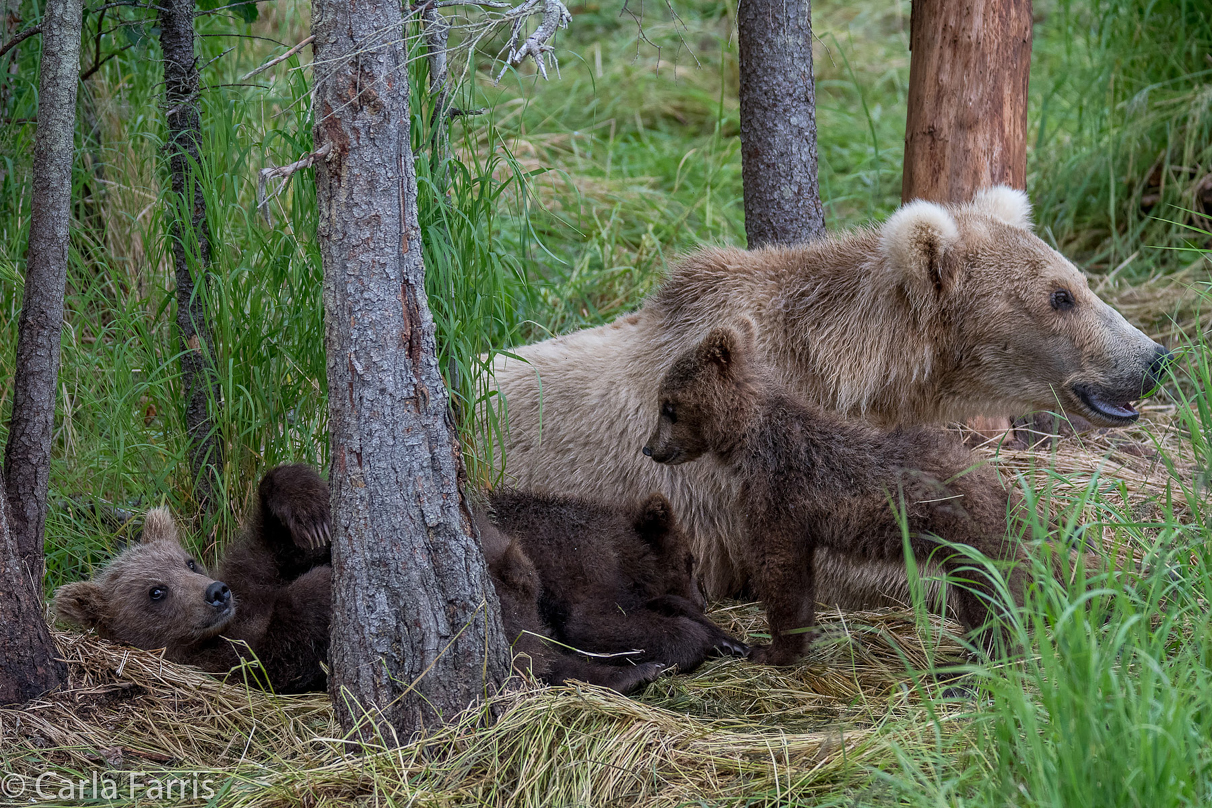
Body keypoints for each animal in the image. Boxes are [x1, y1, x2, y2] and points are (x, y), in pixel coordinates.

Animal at [649, 324, 1056, 668]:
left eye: (668, 406)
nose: (649, 448)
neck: (748, 444)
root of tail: (1006, 491)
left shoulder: (779, 496)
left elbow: (780, 571)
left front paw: (771, 649)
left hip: (970, 537)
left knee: (992, 598)